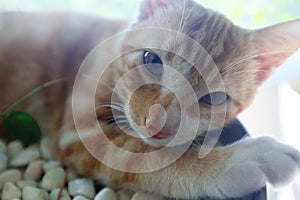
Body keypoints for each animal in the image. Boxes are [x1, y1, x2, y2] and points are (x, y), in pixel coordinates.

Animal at [0, 0, 300, 198]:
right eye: (150, 59)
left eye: (214, 98)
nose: (157, 124)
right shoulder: (80, 135)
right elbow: (146, 156)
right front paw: (234, 160)